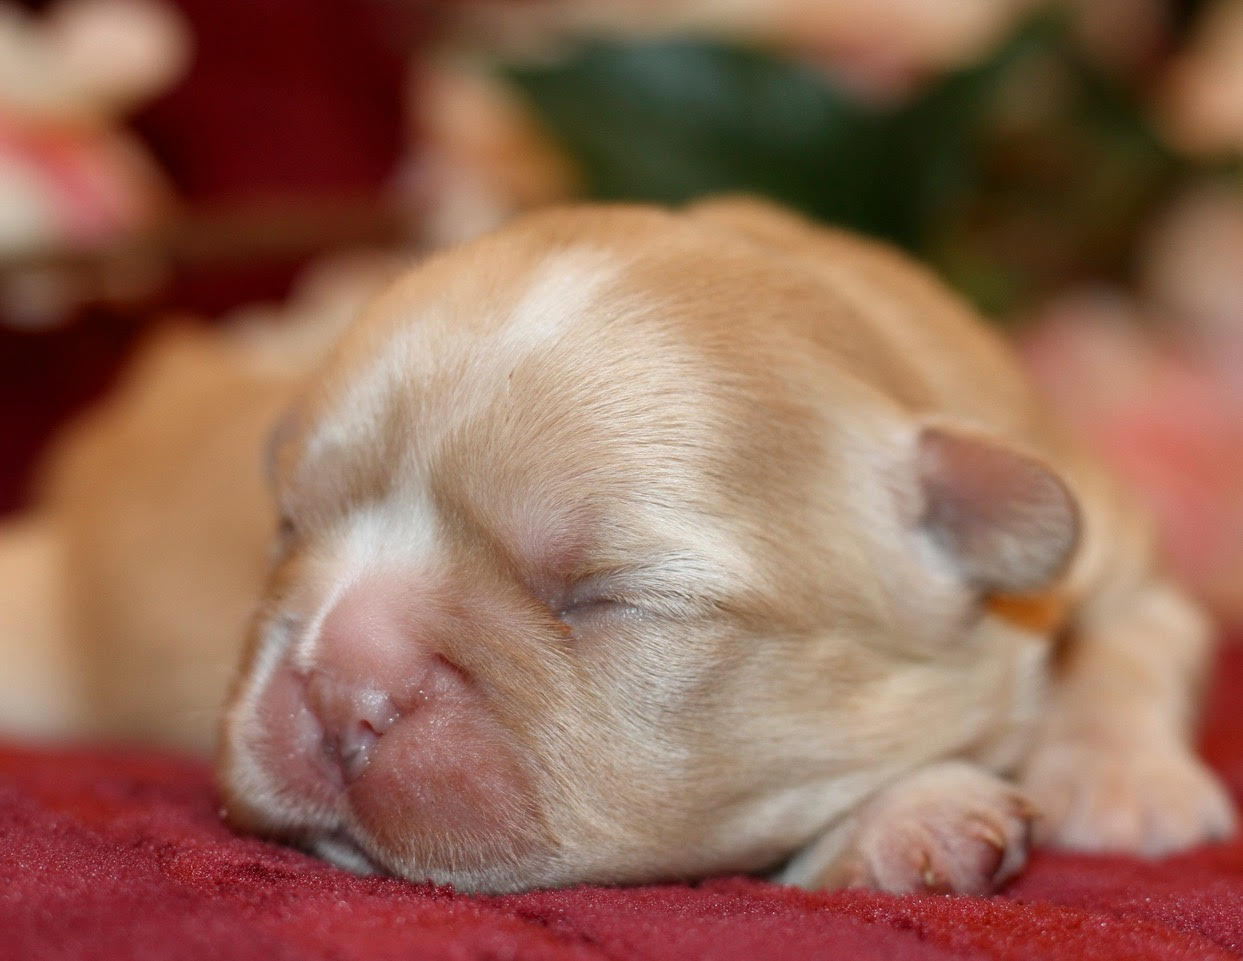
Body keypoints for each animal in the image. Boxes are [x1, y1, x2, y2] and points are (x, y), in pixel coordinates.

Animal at [3, 199, 1234, 894]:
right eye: (289, 528)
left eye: (602, 596)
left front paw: (1119, 782)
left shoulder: (1101, 533)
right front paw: (912, 814)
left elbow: (1142, 638)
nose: (339, 685)